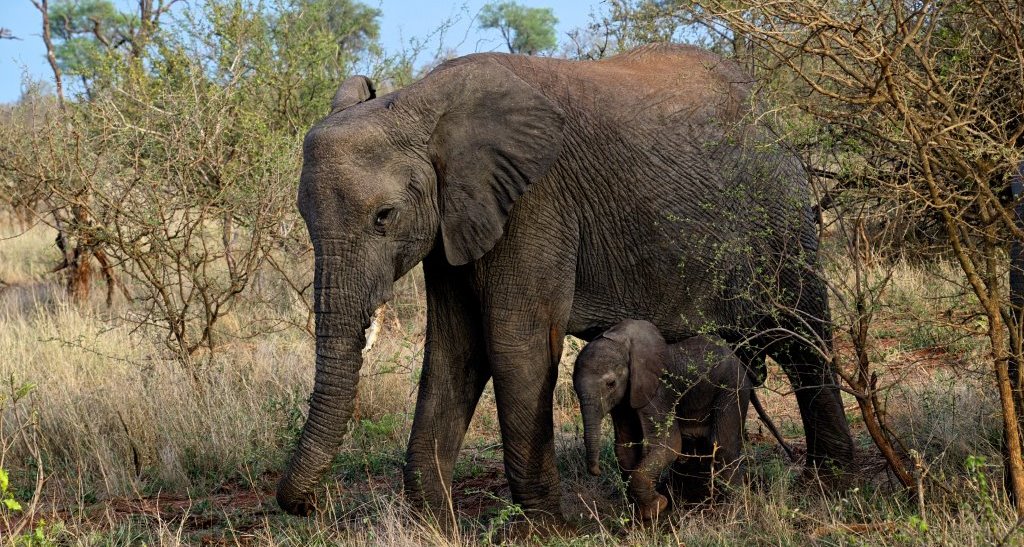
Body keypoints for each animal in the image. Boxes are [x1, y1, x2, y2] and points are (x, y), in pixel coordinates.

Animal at [577, 319, 753, 520]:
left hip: (732, 388)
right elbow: (625, 446)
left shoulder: (658, 391)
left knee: (723, 447)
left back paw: (731, 510)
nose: (597, 470)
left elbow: (669, 444)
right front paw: (645, 511)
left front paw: (658, 506)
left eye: (610, 384)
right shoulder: (624, 401)